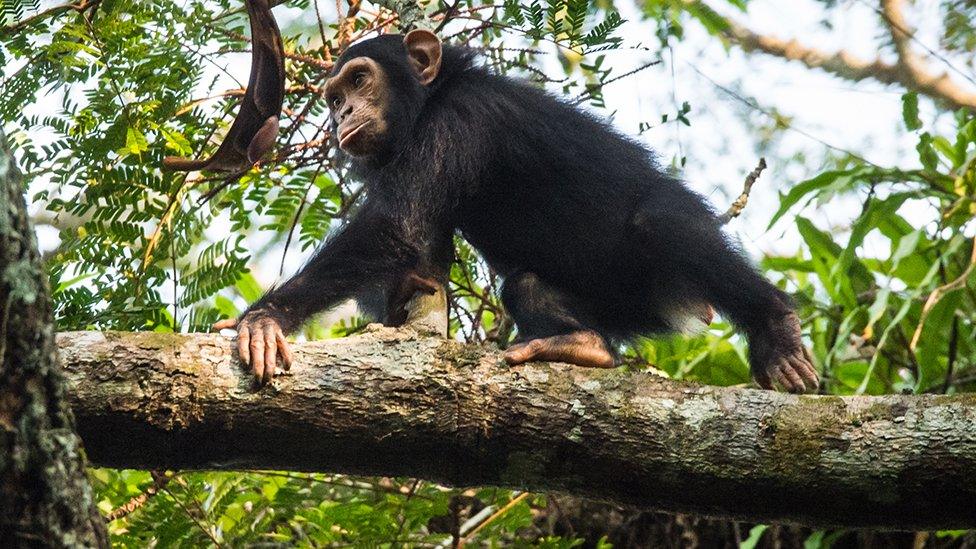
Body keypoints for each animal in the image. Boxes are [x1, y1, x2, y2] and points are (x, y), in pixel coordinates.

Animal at [212, 30, 816, 392]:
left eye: (359, 79)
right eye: (334, 98)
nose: (342, 114)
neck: (432, 99)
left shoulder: (461, 120)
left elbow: (392, 229)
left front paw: (263, 320)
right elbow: (416, 251)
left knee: (662, 224)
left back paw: (776, 330)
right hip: (624, 309)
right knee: (529, 286)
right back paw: (586, 346)